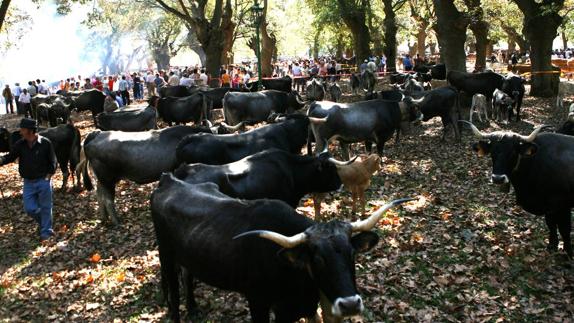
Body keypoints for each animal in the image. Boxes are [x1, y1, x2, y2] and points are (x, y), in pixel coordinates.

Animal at [81, 126, 214, 225]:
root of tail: (97, 133)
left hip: (102, 178)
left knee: (99, 194)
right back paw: (116, 222)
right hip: (108, 178)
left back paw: (104, 218)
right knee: (108, 199)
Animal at [151, 175, 416, 323]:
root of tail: (169, 180)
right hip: (165, 254)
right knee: (173, 291)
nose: (350, 305)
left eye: (352, 254)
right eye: (317, 259)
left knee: (187, 275)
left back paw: (194, 308)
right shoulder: (259, 302)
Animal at [466, 120, 572, 260]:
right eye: (493, 152)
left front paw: (568, 253)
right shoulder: (549, 208)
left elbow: (565, 229)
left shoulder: (562, 206)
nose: (498, 178)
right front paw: (552, 245)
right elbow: (551, 225)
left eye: (512, 152)